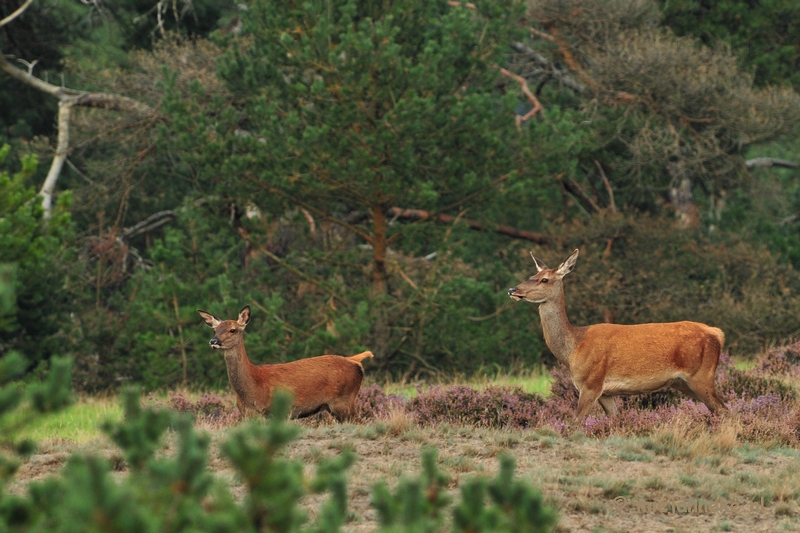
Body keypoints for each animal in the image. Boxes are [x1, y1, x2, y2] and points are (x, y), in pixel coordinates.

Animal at [200, 308, 376, 420]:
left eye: (233, 330)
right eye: (215, 330)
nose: (213, 341)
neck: (253, 387)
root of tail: (355, 360)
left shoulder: (273, 411)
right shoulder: (247, 415)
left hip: (344, 400)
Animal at [510, 247, 728, 418]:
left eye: (544, 279)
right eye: (531, 276)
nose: (513, 290)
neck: (573, 349)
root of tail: (717, 333)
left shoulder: (590, 384)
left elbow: (576, 422)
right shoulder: (606, 393)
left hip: (701, 375)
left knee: (724, 410)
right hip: (683, 383)